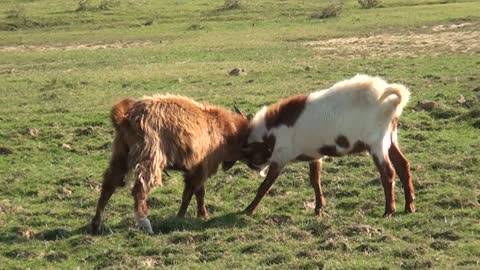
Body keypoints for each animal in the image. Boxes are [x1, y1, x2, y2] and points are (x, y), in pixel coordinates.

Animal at [88, 95, 251, 234]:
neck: (219, 125)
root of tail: (126, 118)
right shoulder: (201, 169)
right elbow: (190, 193)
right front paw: (182, 216)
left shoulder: (196, 168)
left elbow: (198, 192)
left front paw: (201, 214)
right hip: (150, 159)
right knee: (139, 189)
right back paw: (144, 224)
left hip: (120, 157)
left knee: (108, 185)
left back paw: (96, 225)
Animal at [244, 74, 416, 217]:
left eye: (248, 151)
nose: (252, 166)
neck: (272, 131)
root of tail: (392, 102)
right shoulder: (314, 155)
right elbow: (315, 180)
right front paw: (318, 208)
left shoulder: (280, 158)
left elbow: (265, 185)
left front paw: (248, 209)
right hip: (390, 138)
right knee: (402, 165)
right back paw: (409, 206)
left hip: (377, 144)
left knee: (388, 173)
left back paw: (389, 211)